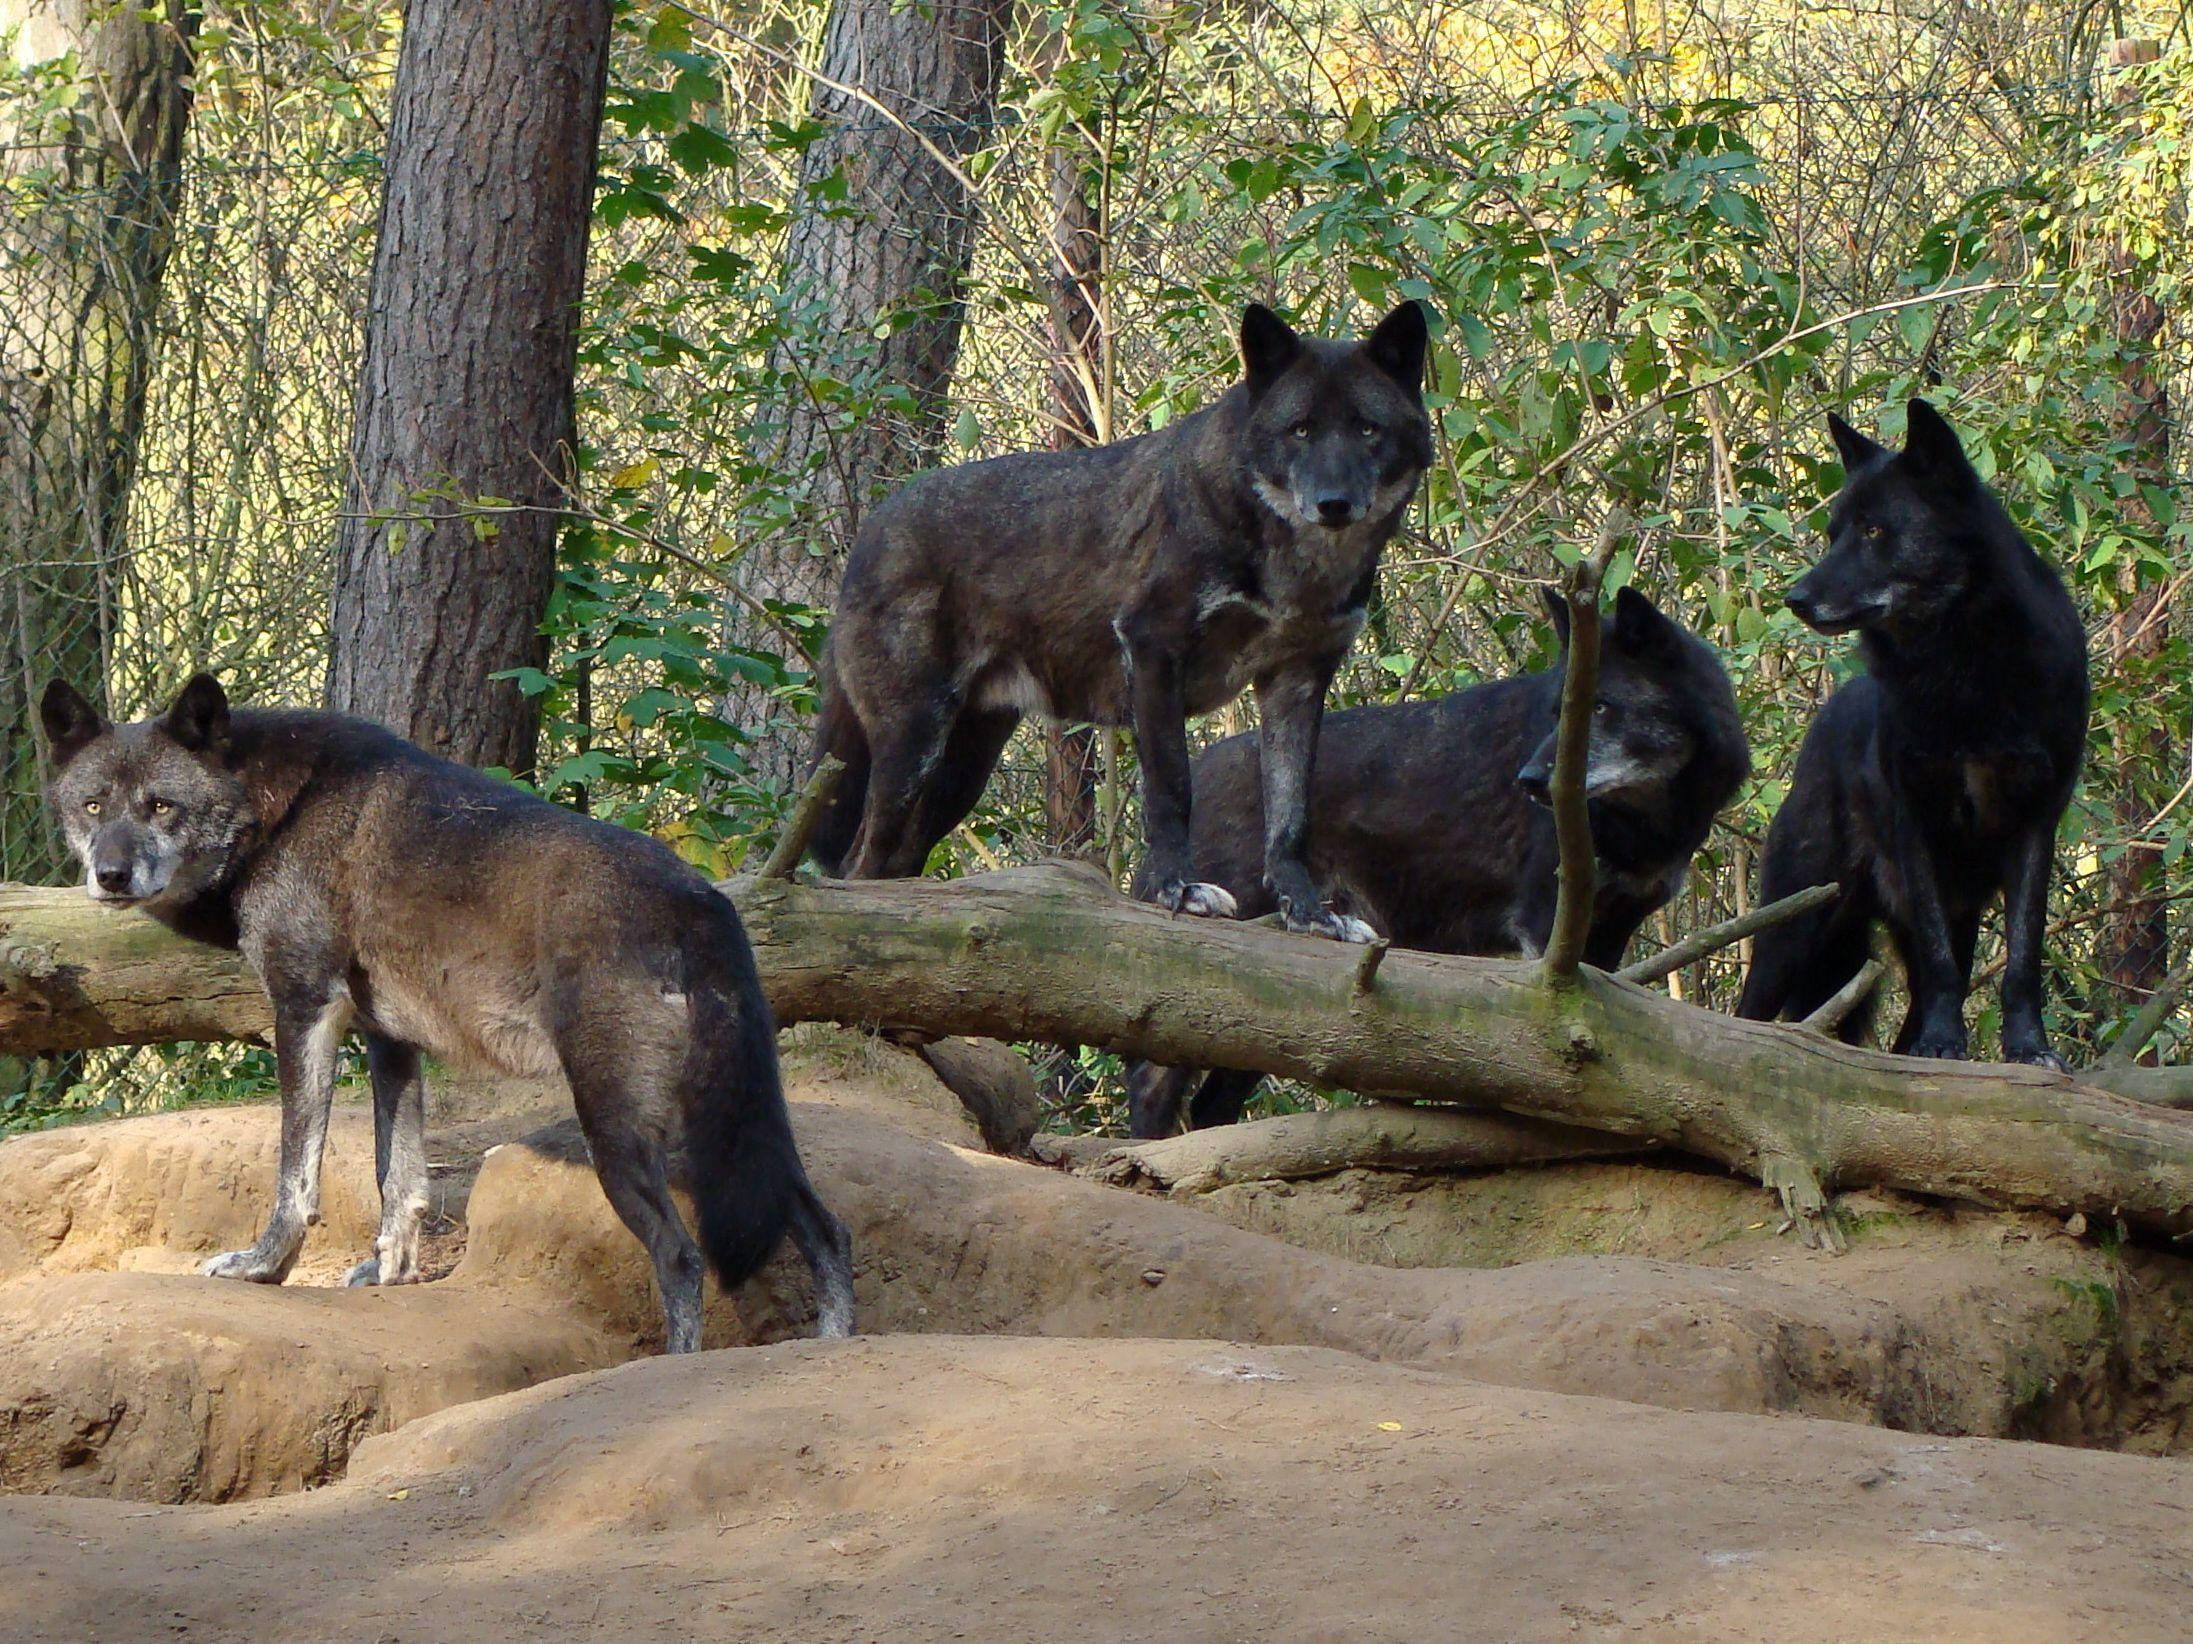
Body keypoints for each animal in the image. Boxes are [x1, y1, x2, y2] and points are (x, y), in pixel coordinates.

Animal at [39, 673, 855, 1351]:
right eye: (92, 806)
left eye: (161, 806)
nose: (110, 875)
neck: (277, 809)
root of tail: (700, 903)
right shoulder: (388, 1040)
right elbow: (397, 1177)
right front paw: (390, 1275)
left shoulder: (303, 1009)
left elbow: (295, 1175)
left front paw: (263, 1267)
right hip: (733, 1127)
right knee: (827, 1230)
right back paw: (834, 1348)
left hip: (622, 1133)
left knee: (682, 1259)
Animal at [807, 300, 1434, 942]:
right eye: (1301, 430)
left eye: (1367, 429)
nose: (1334, 504)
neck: (1294, 568)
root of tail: (869, 534)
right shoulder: (1153, 650)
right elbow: (1171, 790)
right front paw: (1175, 890)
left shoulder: (1297, 682)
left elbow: (1289, 821)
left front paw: (1309, 915)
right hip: (914, 744)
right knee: (856, 866)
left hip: (959, 772)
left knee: (891, 866)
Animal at [1126, 584, 1751, 1135]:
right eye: (1560, 713)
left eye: (1599, 707)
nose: (1527, 781)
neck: (1647, 823)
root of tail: (1200, 768)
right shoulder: (1544, 928)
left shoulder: (1612, 932)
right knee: (1152, 1089)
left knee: (1209, 1104)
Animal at [1736, 400, 2089, 1067]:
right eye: (1834, 535)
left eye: (1875, 532)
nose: (1795, 599)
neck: (1962, 669)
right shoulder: (1916, 823)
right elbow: (1940, 961)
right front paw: (1946, 1045)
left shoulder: (2036, 822)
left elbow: (2023, 960)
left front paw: (2029, 1049)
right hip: (1795, 925)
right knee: (1747, 1013)